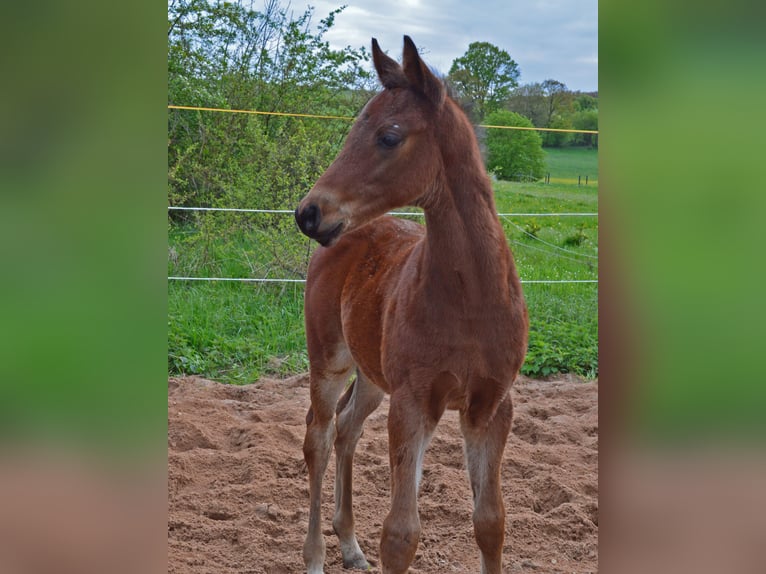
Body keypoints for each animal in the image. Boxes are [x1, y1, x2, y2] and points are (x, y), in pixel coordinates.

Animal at [294, 36, 528, 574]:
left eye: (389, 136)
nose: (309, 213)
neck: (471, 302)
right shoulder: (413, 404)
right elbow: (401, 535)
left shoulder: (491, 406)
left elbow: (491, 522)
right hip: (330, 359)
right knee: (318, 437)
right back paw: (316, 556)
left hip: (372, 375)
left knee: (346, 428)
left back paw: (349, 544)